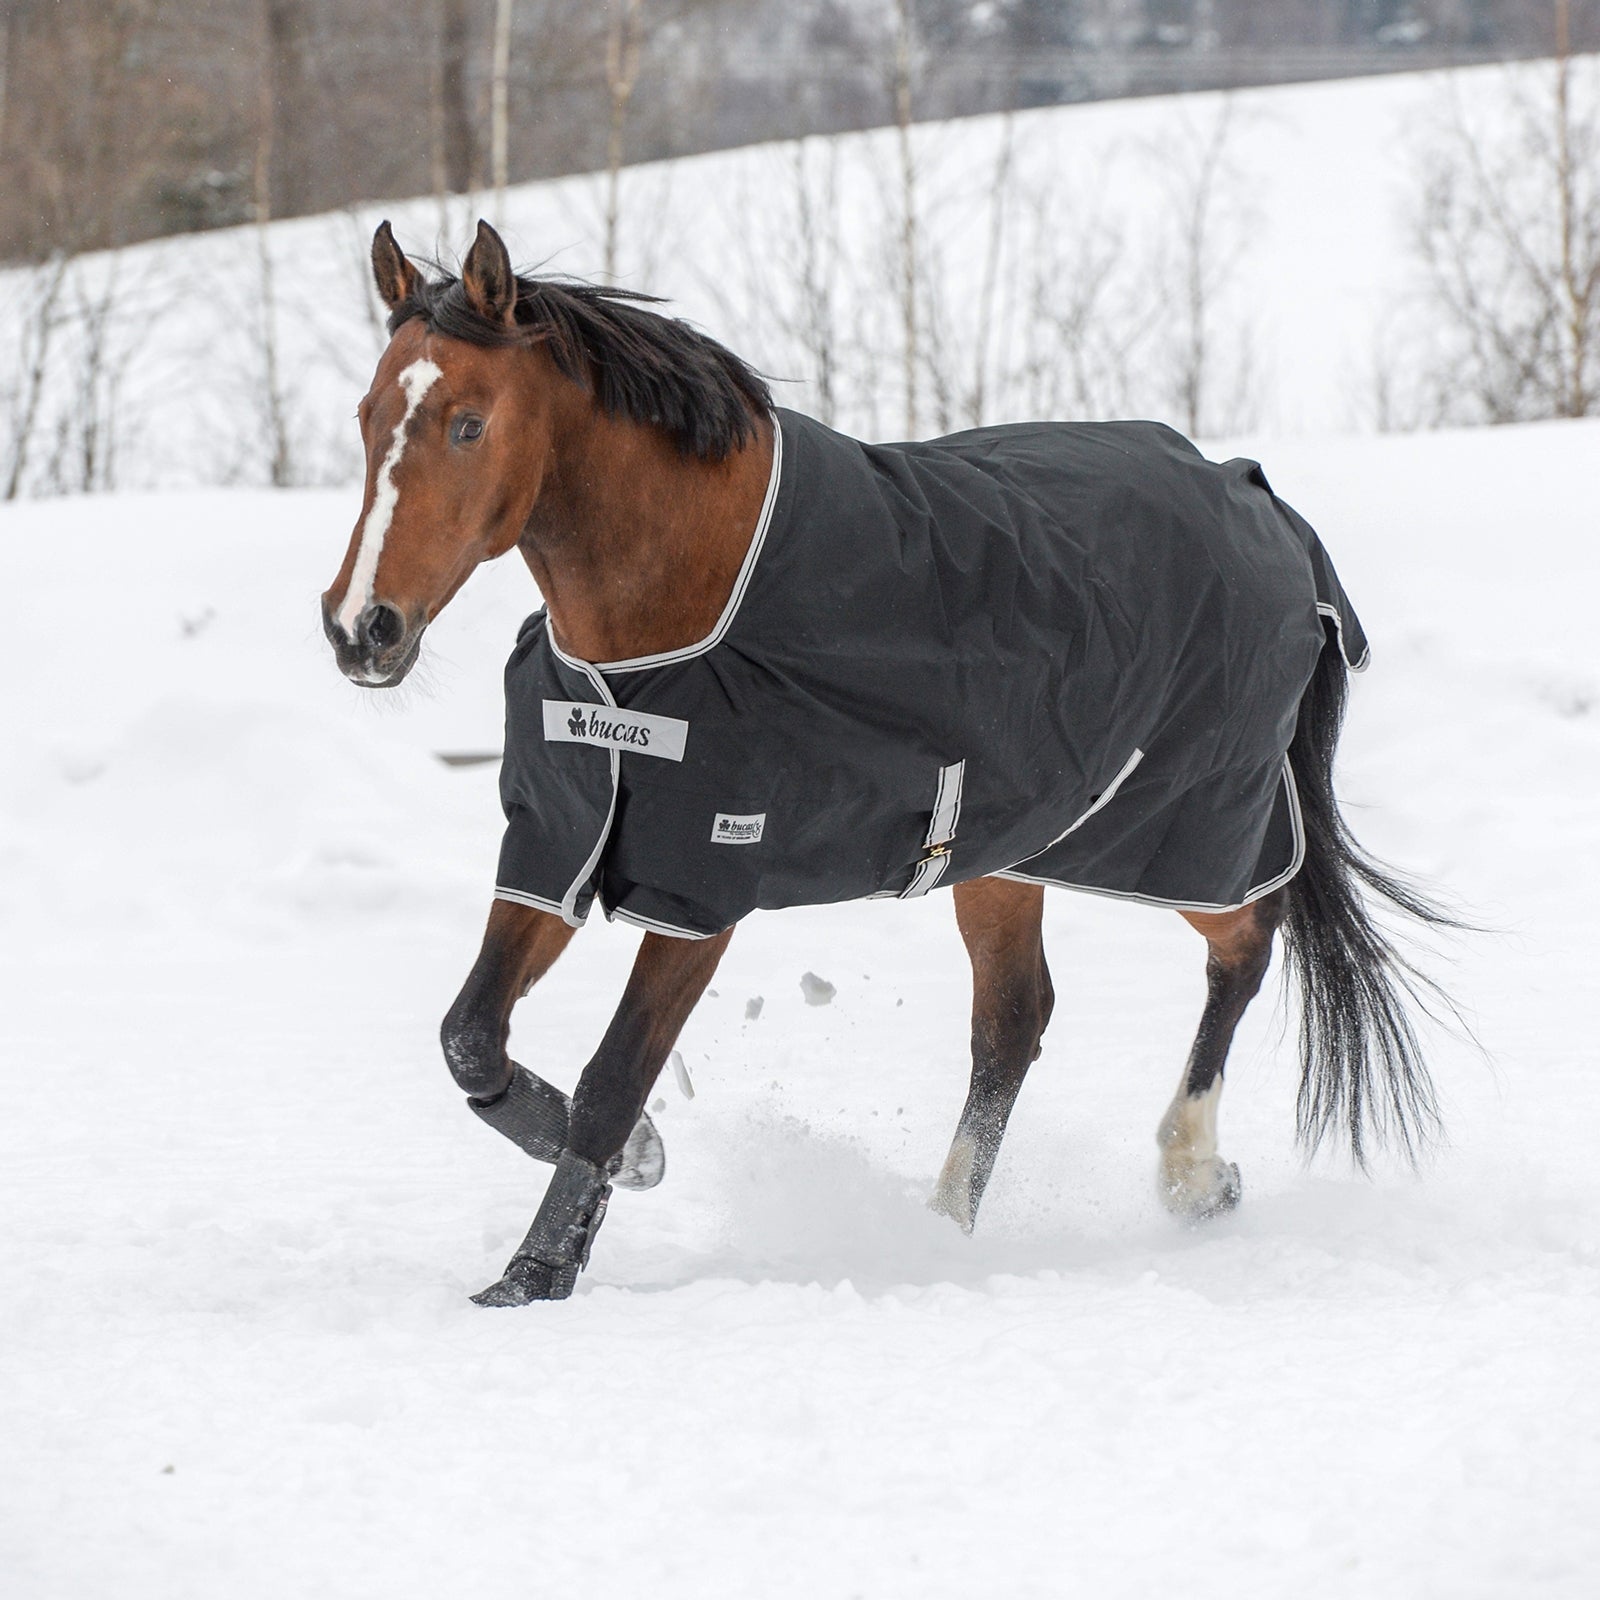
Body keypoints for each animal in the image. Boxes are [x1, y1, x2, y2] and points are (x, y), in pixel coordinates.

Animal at [321, 219, 1452, 1306]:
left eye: (470, 424)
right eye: (368, 417)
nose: (361, 628)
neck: (674, 614)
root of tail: (1260, 500)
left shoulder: (701, 889)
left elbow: (613, 1075)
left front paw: (537, 1271)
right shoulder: (561, 843)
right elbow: (470, 1035)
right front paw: (632, 1164)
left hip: (1187, 831)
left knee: (1245, 946)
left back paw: (1192, 1175)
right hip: (1006, 850)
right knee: (1013, 1024)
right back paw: (942, 1227)